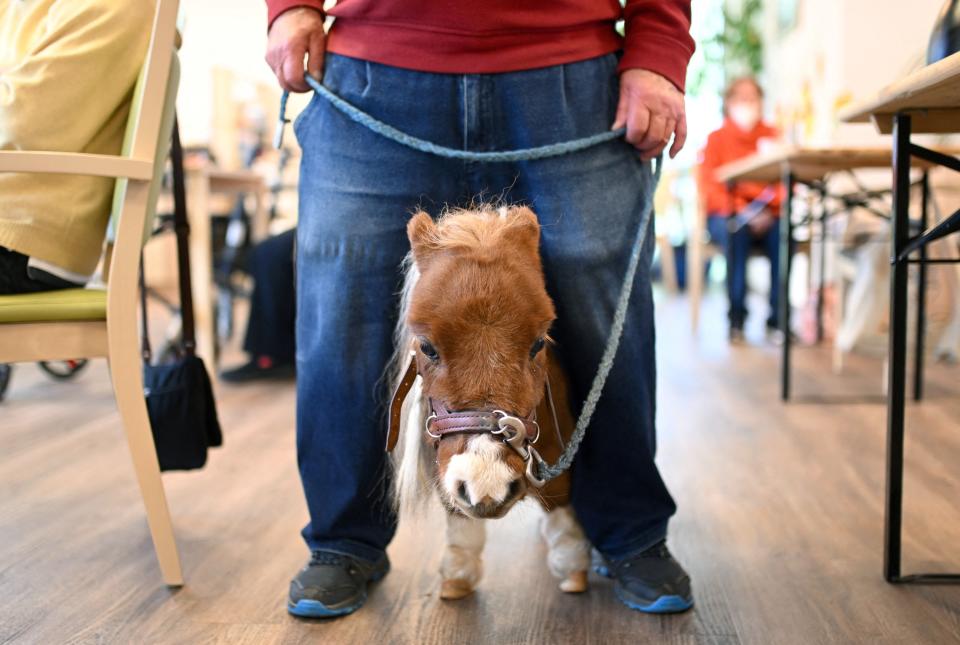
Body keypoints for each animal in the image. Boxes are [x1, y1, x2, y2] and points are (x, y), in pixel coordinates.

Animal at [386, 205, 588, 600]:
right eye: (427, 347)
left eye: (538, 343)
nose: (487, 481)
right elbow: (456, 509)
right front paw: (458, 569)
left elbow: (559, 492)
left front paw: (572, 561)